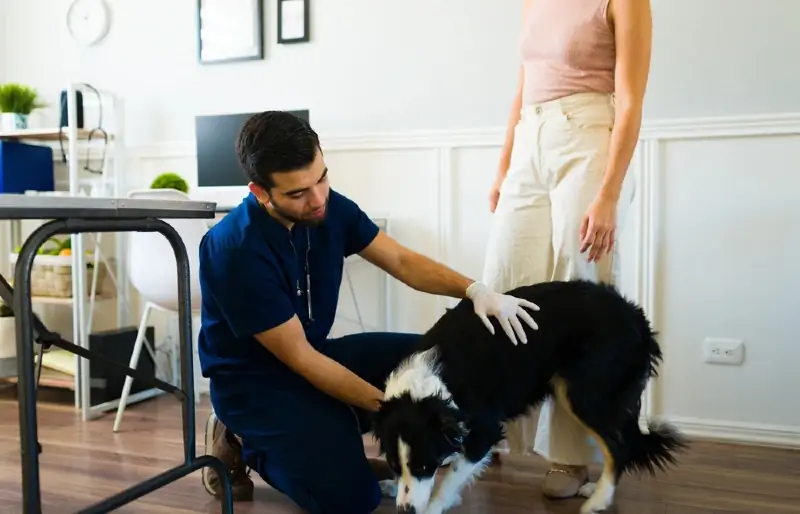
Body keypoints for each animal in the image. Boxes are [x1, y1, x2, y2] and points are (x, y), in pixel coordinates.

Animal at [372, 280, 684, 512]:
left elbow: (450, 478)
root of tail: (636, 317)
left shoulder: (484, 430)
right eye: (393, 464)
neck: (427, 384)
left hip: (587, 393)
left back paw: (599, 499)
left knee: (619, 445)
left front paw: (432, 506)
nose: (405, 510)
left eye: (424, 465)